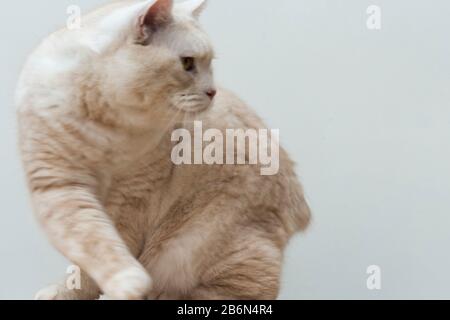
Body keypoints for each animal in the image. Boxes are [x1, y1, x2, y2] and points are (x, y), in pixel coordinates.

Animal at [16, 0, 310, 300]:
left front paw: (121, 289)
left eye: (210, 64)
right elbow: (93, 245)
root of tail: (300, 208)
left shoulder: (131, 198)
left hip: (201, 245)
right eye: (188, 63)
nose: (212, 91)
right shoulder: (59, 186)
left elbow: (106, 253)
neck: (104, 123)